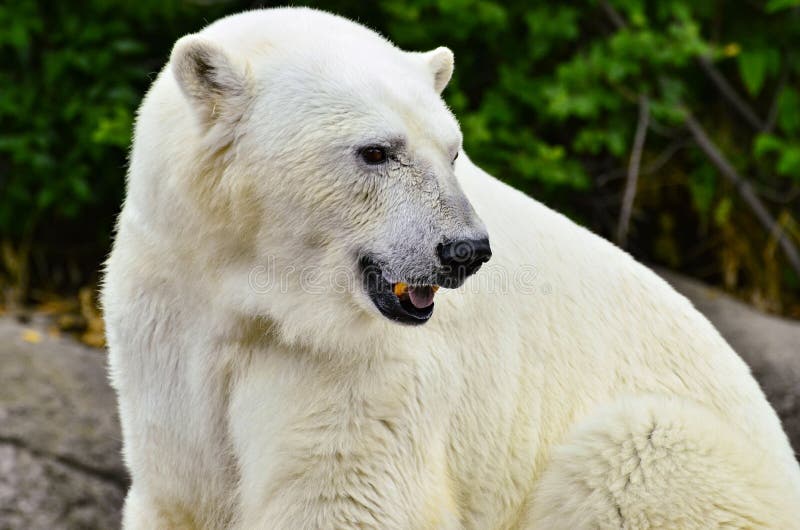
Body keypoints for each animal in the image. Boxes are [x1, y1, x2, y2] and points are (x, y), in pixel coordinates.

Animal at [103, 5, 800, 528]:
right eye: (376, 151)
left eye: (454, 151)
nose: (464, 251)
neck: (255, 290)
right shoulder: (170, 314)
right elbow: (180, 488)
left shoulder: (356, 365)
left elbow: (345, 499)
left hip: (691, 465)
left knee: (631, 448)